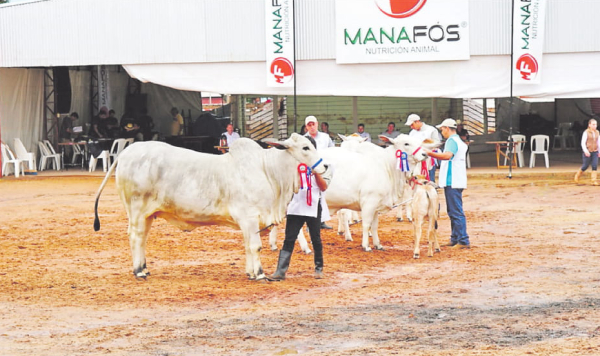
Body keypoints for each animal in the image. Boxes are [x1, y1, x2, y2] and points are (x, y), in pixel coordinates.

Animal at [92, 134, 324, 280]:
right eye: (305, 147)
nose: (325, 165)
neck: (267, 170)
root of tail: (126, 152)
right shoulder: (250, 218)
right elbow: (255, 247)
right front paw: (258, 274)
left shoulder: (249, 223)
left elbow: (248, 247)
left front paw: (250, 272)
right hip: (137, 212)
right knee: (135, 237)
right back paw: (139, 270)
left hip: (148, 214)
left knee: (142, 239)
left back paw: (144, 268)